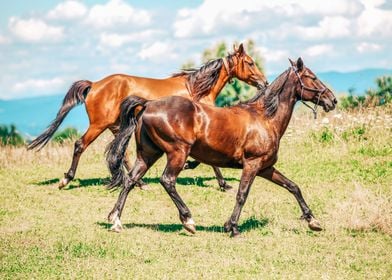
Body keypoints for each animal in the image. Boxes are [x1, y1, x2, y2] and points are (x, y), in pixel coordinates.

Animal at [26, 43, 266, 190]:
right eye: (250, 62)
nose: (264, 82)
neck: (196, 89)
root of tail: (94, 85)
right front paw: (222, 183)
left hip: (117, 126)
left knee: (121, 153)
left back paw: (137, 183)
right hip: (98, 125)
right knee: (80, 145)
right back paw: (66, 179)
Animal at [106, 57, 336, 236]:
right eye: (312, 77)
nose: (332, 100)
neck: (265, 117)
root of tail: (148, 104)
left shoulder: (265, 167)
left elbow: (293, 186)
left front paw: (313, 221)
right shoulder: (252, 164)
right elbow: (242, 194)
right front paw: (232, 227)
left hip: (148, 154)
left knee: (130, 180)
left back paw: (116, 220)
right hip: (177, 153)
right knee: (167, 180)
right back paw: (188, 220)